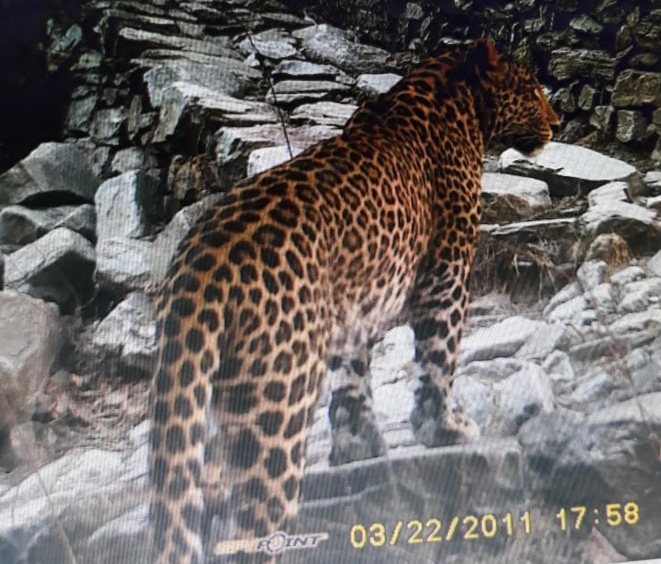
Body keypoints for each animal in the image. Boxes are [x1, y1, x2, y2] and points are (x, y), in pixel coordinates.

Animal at [148, 39, 556, 564]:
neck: (454, 91)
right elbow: (439, 359)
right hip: (277, 404)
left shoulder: (350, 306)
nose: (557, 122)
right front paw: (443, 428)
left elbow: (351, 379)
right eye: (530, 90)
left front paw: (358, 445)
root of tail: (200, 267)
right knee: (257, 522)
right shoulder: (446, 275)